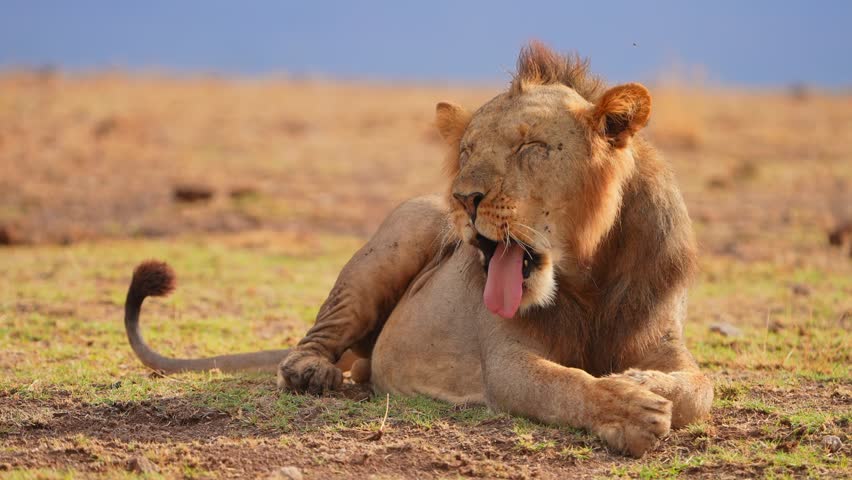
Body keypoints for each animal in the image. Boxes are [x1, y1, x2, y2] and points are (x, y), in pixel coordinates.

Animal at [124, 42, 713, 457]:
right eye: (467, 151)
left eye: (530, 147)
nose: (464, 197)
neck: (588, 273)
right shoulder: (505, 362)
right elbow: (566, 384)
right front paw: (632, 409)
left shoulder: (665, 339)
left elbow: (701, 384)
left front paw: (640, 380)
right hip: (401, 234)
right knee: (314, 340)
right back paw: (312, 373)